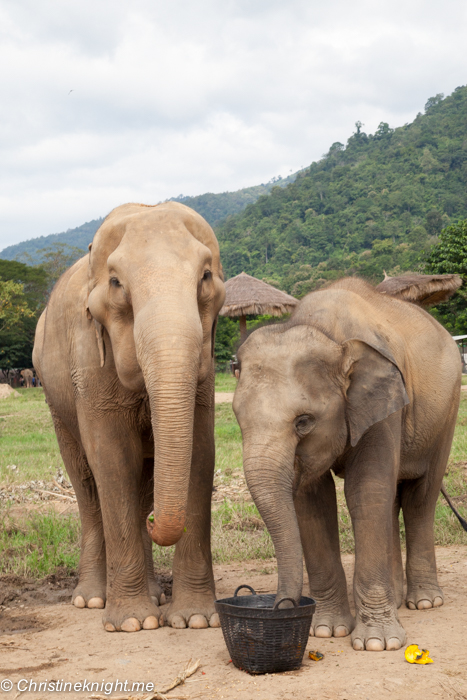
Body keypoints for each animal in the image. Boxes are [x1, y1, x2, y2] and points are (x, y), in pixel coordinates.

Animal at [32, 202, 226, 636]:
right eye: (117, 283)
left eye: (205, 276)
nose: (158, 526)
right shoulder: (89, 359)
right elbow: (113, 459)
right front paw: (133, 624)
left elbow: (200, 452)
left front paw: (195, 620)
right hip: (55, 401)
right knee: (86, 487)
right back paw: (91, 599)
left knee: (142, 486)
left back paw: (154, 594)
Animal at [234, 274, 460, 652]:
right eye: (238, 417)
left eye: (304, 421)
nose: (281, 607)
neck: (328, 333)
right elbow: (313, 501)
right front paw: (327, 630)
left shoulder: (383, 404)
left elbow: (364, 491)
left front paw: (378, 643)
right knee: (392, 498)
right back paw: (396, 598)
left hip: (448, 410)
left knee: (419, 497)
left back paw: (425, 601)